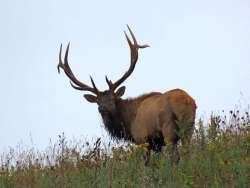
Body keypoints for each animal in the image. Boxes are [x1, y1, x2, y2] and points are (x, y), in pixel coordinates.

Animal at [57, 25, 196, 163]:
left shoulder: (142, 139)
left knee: (175, 156)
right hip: (189, 127)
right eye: (98, 101)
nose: (102, 109)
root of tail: (186, 101)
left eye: (112, 98)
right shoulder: (156, 145)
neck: (129, 123)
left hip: (168, 129)